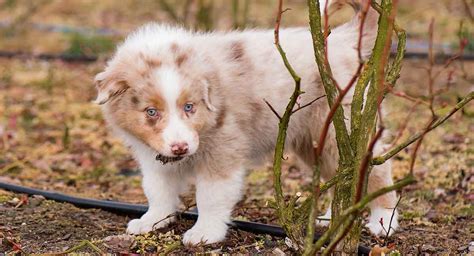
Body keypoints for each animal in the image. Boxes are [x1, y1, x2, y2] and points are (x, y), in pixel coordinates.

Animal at [96, 0, 400, 244]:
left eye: (189, 107)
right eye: (151, 112)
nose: (180, 148)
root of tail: (342, 39)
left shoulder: (223, 149)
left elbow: (211, 196)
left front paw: (204, 233)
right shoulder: (154, 155)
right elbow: (157, 189)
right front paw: (152, 220)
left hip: (340, 127)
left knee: (376, 170)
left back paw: (382, 221)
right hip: (318, 139)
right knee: (343, 174)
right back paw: (331, 217)